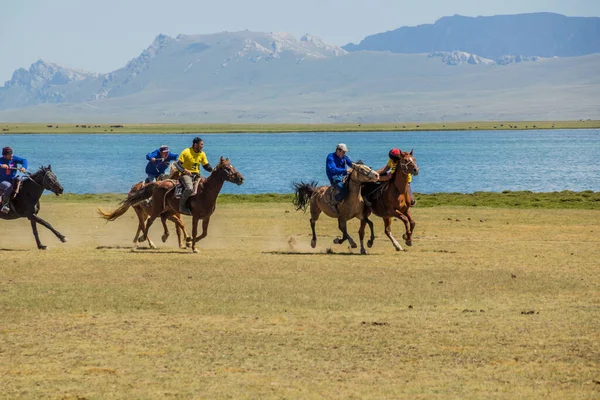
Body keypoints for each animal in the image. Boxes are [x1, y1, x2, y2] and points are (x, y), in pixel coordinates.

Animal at [99, 157, 243, 253]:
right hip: (151, 210)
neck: (206, 191)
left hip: (163, 210)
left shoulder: (205, 216)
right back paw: (147, 241)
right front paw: (192, 245)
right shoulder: (195, 216)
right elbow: (192, 229)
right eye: (227, 168)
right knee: (147, 224)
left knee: (150, 223)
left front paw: (188, 242)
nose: (241, 178)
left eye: (232, 166)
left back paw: (148, 239)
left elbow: (202, 233)